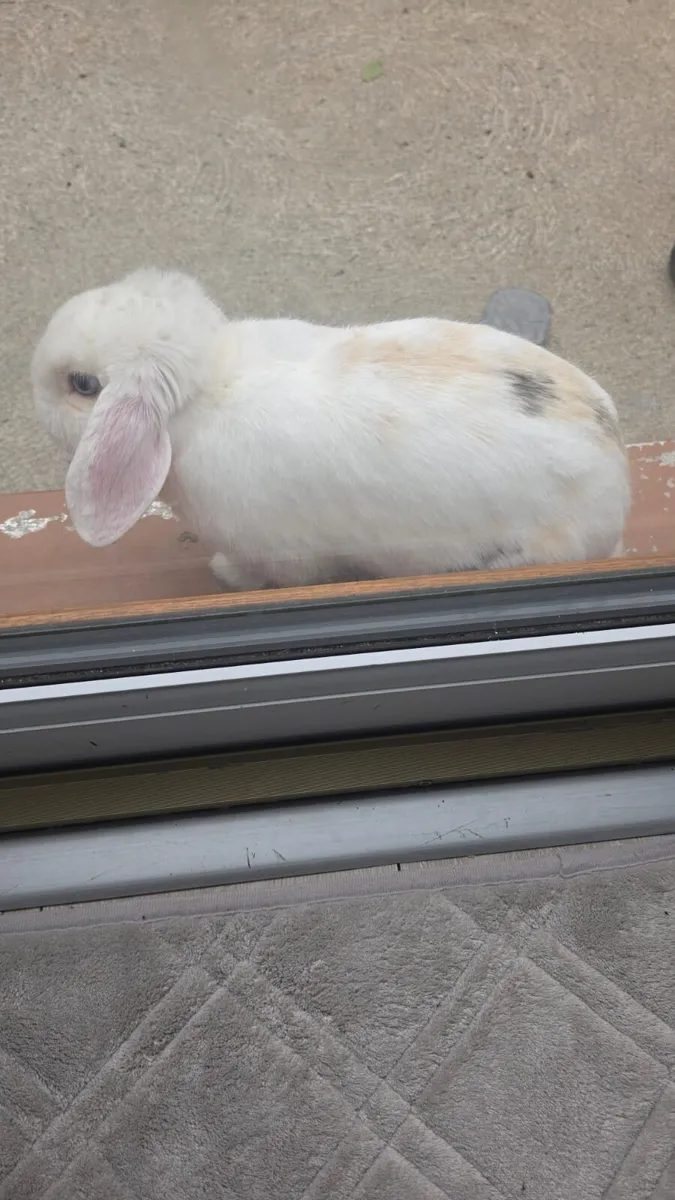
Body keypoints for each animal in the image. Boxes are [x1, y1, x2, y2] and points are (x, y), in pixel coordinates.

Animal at [32, 267, 630, 590]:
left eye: (82, 385)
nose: (31, 384)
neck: (209, 388)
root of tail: (617, 473)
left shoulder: (273, 553)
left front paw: (222, 574)